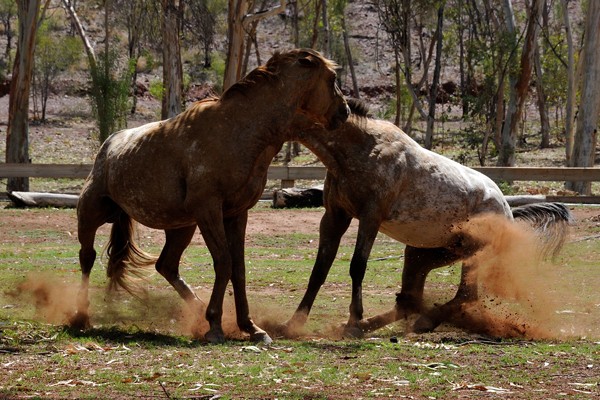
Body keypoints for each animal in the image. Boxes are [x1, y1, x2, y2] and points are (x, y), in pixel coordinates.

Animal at [71, 49, 349, 344]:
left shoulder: (236, 214)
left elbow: (238, 269)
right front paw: (215, 324)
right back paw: (80, 316)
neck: (239, 131)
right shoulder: (209, 211)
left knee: (166, 266)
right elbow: (224, 262)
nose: (345, 111)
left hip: (181, 227)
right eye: (332, 79)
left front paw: (250, 327)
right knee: (87, 257)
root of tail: (108, 146)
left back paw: (197, 309)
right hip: (90, 216)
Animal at [283, 100, 573, 337]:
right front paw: (292, 324)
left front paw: (354, 321)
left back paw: (420, 322)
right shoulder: (335, 217)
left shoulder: (370, 217)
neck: (363, 147)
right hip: (422, 254)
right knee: (411, 300)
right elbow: (319, 269)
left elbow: (357, 266)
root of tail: (508, 213)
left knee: (464, 296)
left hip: (470, 256)